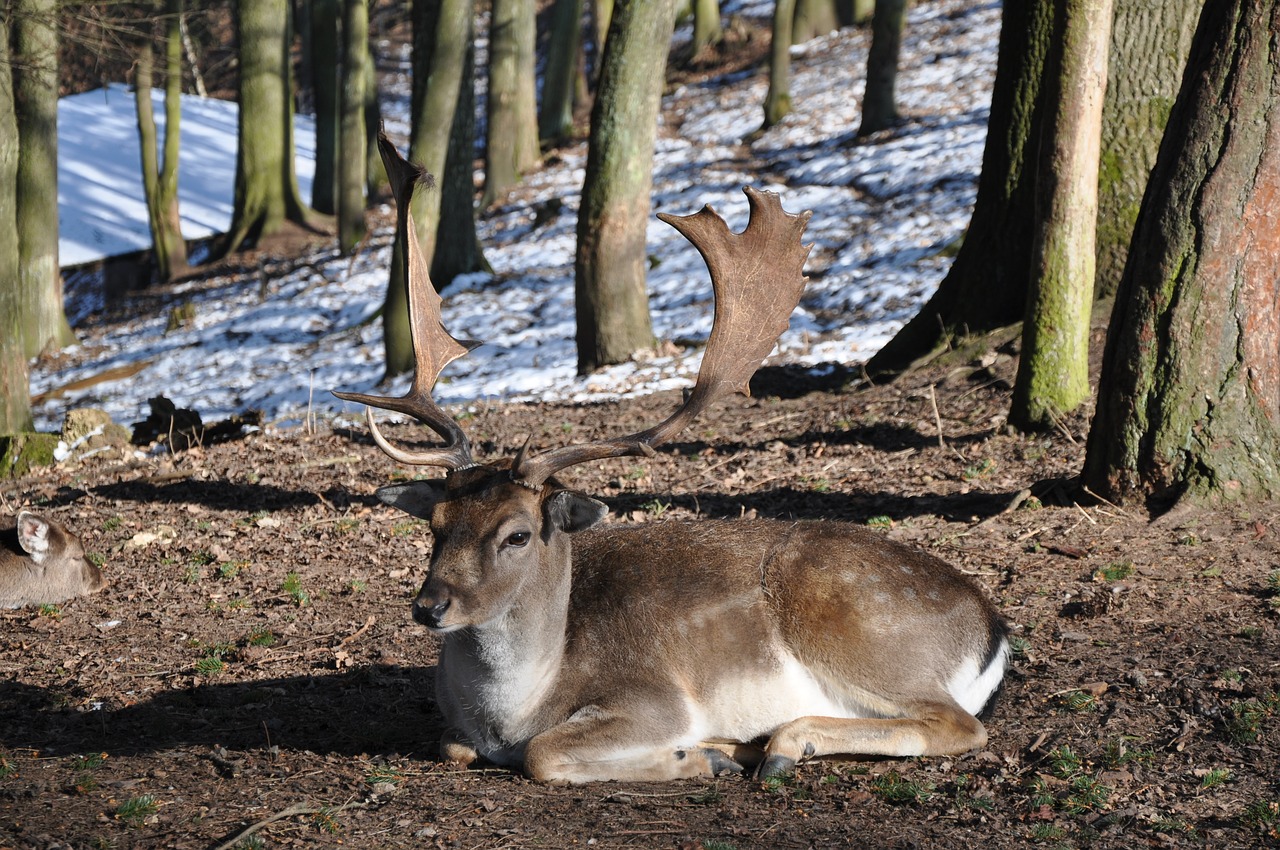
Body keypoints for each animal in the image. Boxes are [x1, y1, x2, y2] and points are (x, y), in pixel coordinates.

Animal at [337, 133, 1008, 783]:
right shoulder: (458, 729)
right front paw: (712, 754)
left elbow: (544, 755)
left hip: (862, 629)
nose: (429, 606)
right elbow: (453, 745)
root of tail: (993, 629)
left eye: (518, 535)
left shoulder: (654, 697)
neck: (514, 710)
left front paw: (699, 757)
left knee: (959, 724)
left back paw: (780, 744)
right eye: (434, 526)